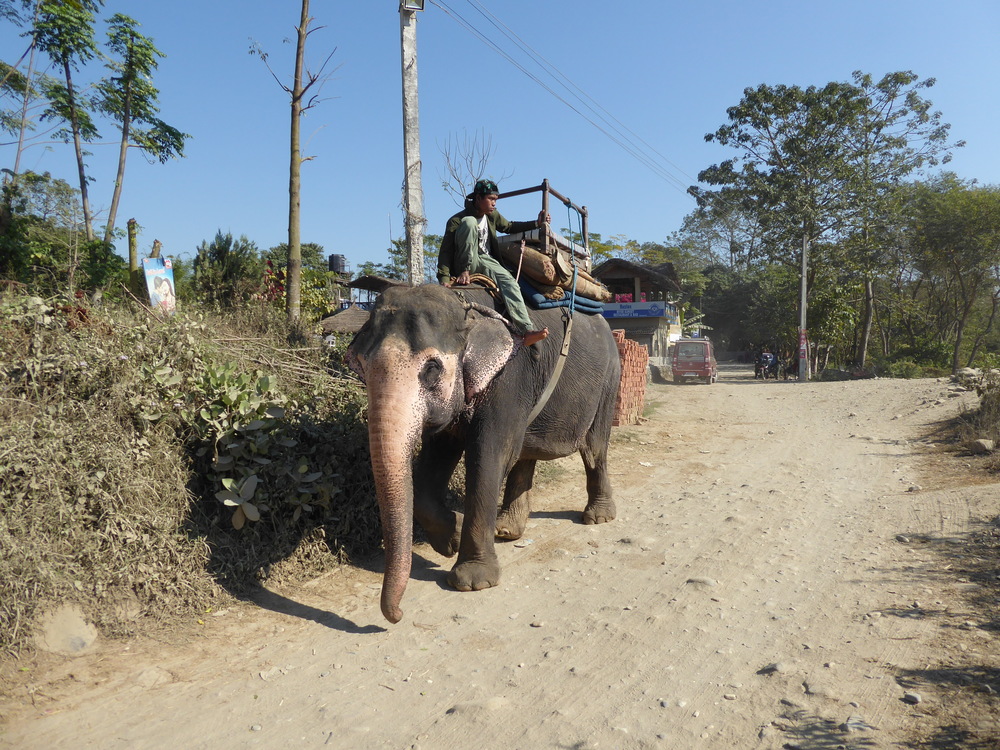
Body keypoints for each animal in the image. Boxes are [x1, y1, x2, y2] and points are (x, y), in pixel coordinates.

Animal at [348, 282, 620, 624]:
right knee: (526, 453)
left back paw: (597, 518)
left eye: (432, 369)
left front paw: (473, 581)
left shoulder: (509, 379)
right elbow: (437, 457)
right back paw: (507, 530)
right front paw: (451, 539)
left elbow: (489, 455)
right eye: (360, 367)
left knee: (594, 447)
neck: (466, 307)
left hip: (609, 380)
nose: (396, 615)